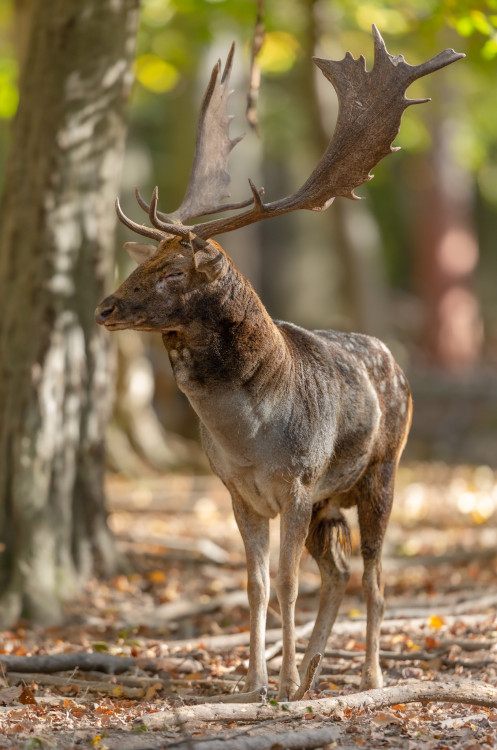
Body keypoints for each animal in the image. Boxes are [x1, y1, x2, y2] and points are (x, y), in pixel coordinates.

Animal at [94, 26, 462, 704]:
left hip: (380, 472)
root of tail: (396, 361)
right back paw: (315, 670)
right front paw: (254, 684)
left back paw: (367, 675)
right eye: (144, 261)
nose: (105, 307)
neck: (249, 438)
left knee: (373, 575)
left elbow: (289, 583)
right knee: (338, 570)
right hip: (328, 502)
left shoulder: (296, 482)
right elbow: (256, 585)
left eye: (174, 270)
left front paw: (282, 682)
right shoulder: (238, 492)